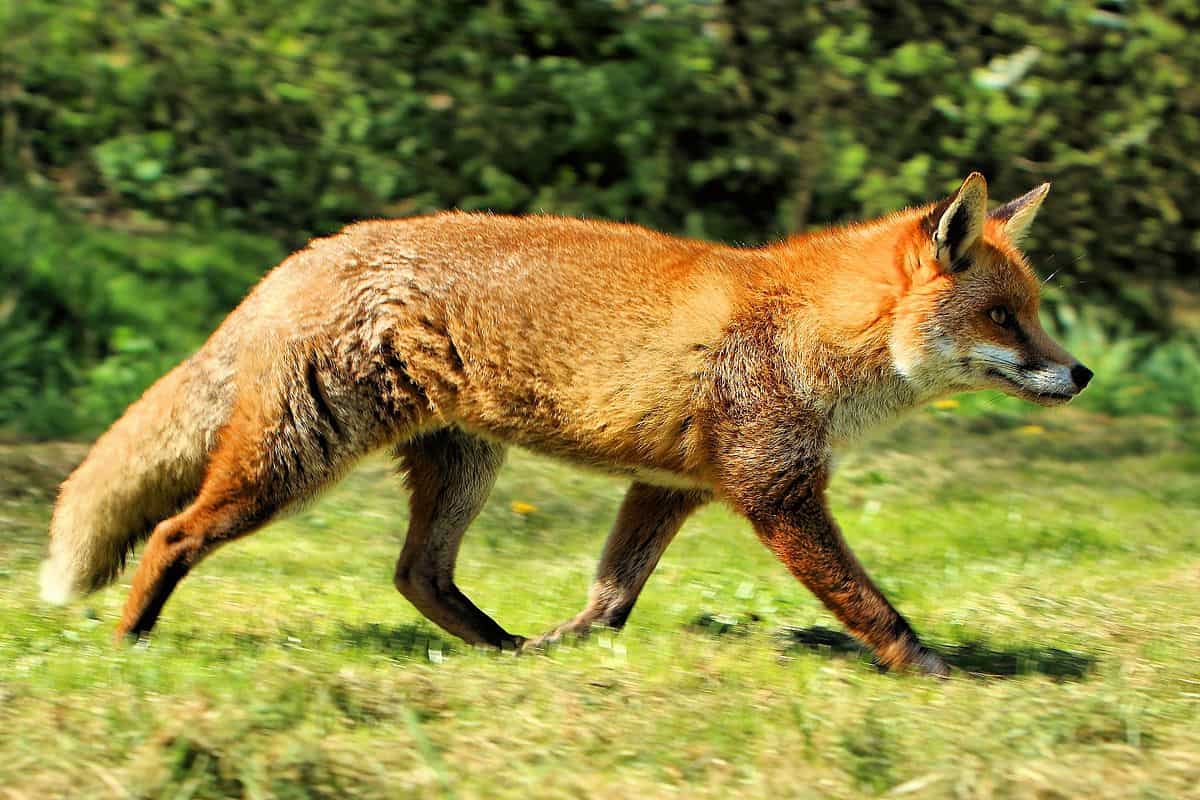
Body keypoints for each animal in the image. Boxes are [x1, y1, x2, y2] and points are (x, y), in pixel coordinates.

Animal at [40, 172, 1091, 675]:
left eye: (1034, 312)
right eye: (1005, 318)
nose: (1078, 373)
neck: (807, 328)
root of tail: (308, 253)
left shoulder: (671, 489)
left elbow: (611, 596)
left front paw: (569, 650)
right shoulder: (774, 489)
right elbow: (871, 605)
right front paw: (931, 669)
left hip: (462, 468)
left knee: (417, 574)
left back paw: (502, 651)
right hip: (298, 460)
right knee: (172, 535)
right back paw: (130, 644)